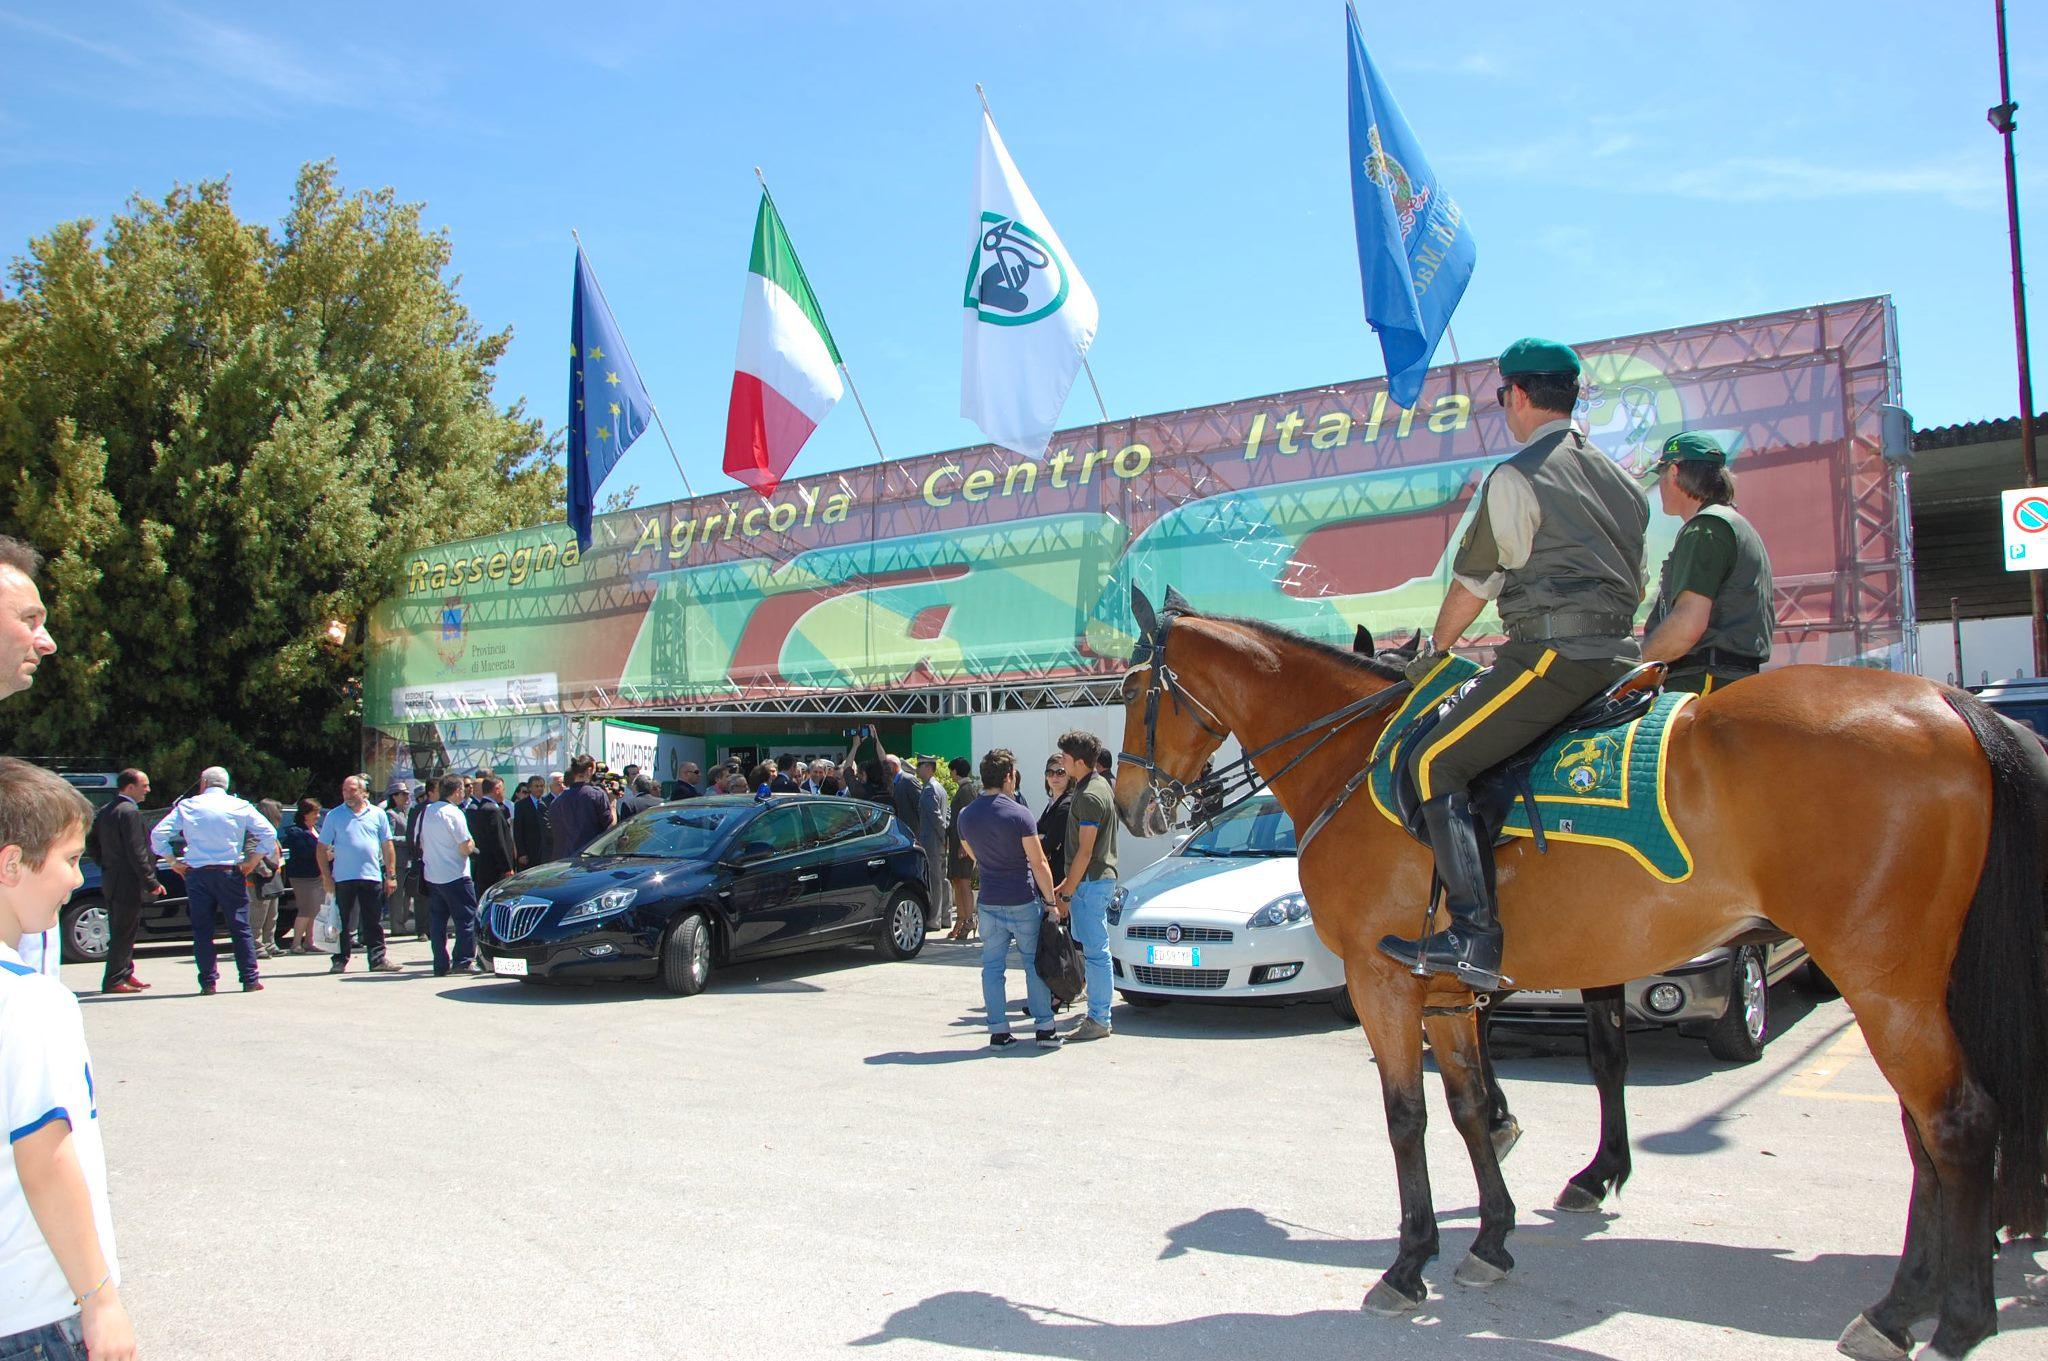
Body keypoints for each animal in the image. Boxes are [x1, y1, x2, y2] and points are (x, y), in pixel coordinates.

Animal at [1114, 585, 2048, 1358]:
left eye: (1131, 691)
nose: (1132, 806)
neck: (1356, 756)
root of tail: (1943, 700)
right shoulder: (1449, 995)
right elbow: (1466, 1109)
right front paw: (1490, 1238)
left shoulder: (1385, 986)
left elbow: (1408, 1118)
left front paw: (1410, 1261)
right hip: (1910, 987)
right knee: (1928, 1136)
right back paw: (1907, 1305)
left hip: (1884, 982)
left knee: (1957, 1124)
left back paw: (1950, 1319)